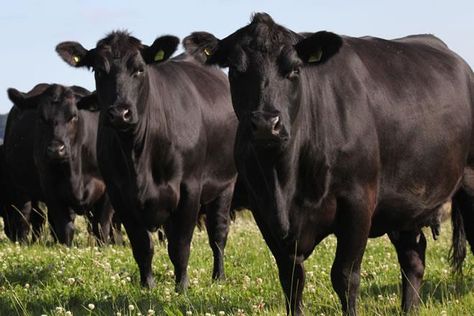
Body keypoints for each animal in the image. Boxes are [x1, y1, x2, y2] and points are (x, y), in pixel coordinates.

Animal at [6, 83, 118, 244]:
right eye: (41, 117)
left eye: (73, 116)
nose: (55, 150)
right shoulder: (50, 189)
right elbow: (65, 228)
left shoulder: (108, 189)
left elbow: (101, 226)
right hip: (21, 188)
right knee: (24, 216)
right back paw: (23, 243)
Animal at [56, 30, 239, 290]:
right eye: (99, 71)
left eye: (140, 69)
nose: (120, 113)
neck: (138, 155)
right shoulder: (119, 194)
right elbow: (142, 245)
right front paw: (148, 286)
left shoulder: (190, 188)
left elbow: (180, 246)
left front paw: (181, 288)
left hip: (226, 184)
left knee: (218, 234)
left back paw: (218, 276)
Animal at [183, 12, 474, 316]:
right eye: (236, 70)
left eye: (294, 70)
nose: (265, 124)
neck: (284, 180)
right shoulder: (264, 211)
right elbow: (291, 279)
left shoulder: (358, 203)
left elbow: (345, 276)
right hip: (404, 205)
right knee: (413, 258)